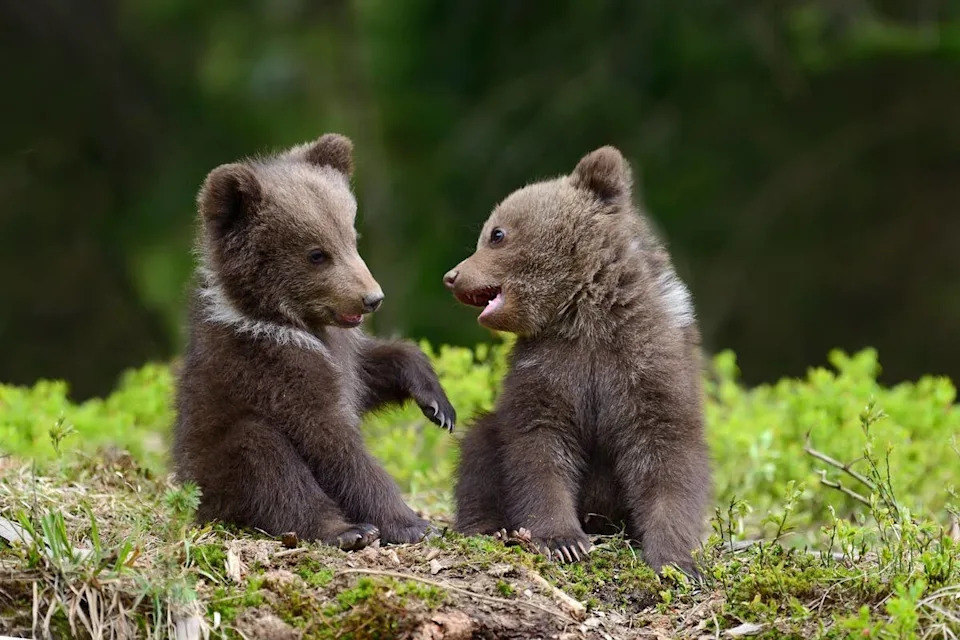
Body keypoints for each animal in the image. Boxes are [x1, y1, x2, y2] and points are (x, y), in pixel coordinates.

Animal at [173, 133, 455, 550]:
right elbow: (331, 442)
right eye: (317, 253)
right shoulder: (273, 368)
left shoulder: (341, 353)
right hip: (215, 470)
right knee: (267, 461)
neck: (285, 321)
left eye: (352, 237)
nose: (372, 298)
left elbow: (373, 370)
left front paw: (438, 404)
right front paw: (411, 523)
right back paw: (347, 530)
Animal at [443, 146, 710, 573]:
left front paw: (676, 558)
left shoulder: (647, 363)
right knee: (479, 447)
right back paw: (489, 527)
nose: (452, 276)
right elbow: (538, 448)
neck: (584, 316)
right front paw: (563, 541)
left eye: (496, 234)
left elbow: (666, 454)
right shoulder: (547, 368)